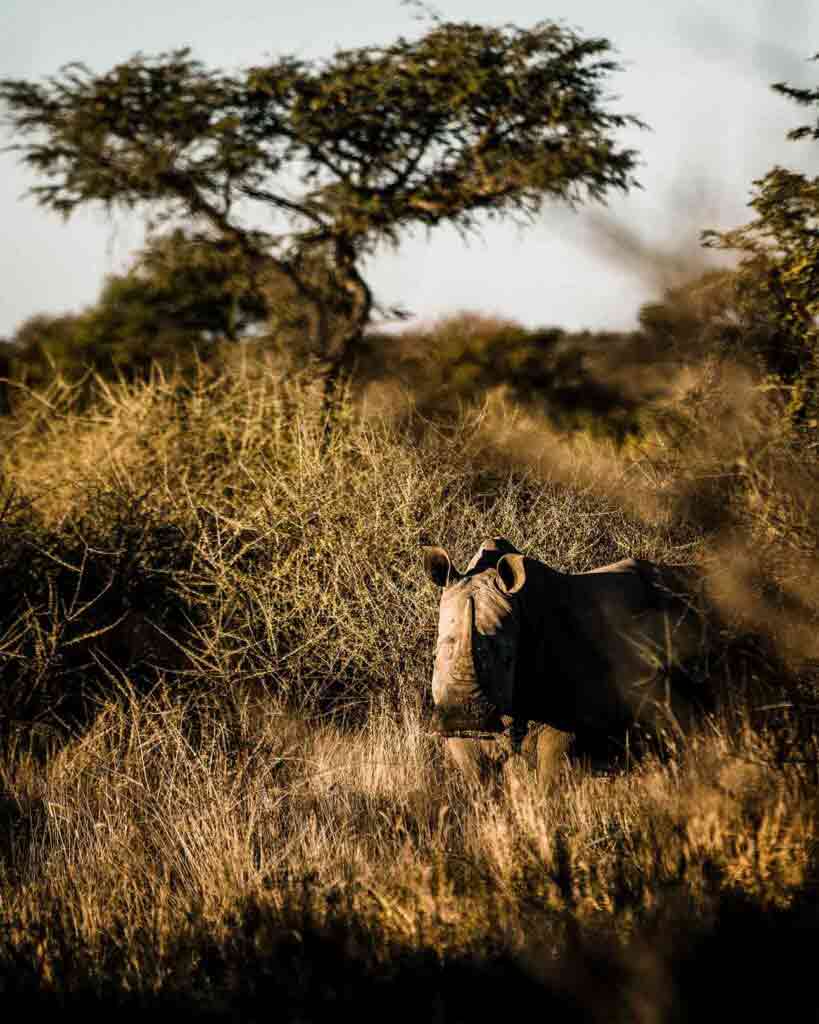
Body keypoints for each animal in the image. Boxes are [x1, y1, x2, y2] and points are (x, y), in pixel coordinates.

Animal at [421, 536, 704, 782]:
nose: (465, 720)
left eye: (508, 659)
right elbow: (478, 780)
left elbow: (549, 775)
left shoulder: (566, 717)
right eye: (438, 654)